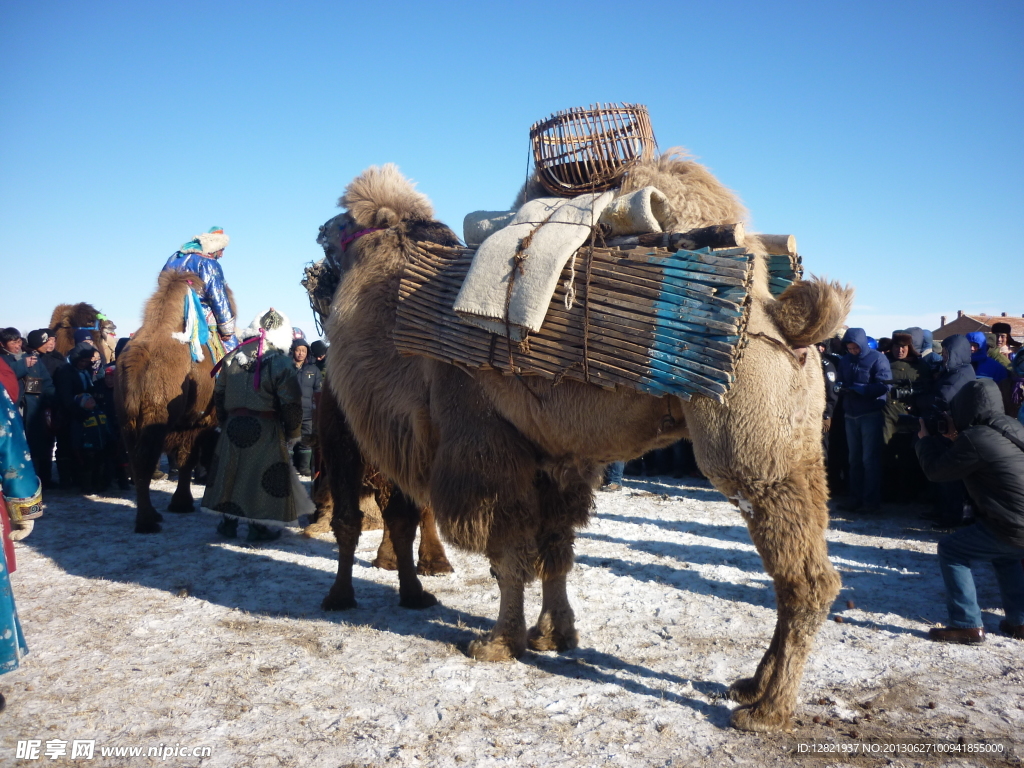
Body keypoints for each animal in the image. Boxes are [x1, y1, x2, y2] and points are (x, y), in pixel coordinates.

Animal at [115, 272, 232, 536]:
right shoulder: (199, 423)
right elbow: (187, 460)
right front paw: (182, 503)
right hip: (155, 421)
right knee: (145, 461)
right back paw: (147, 522)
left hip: (127, 422)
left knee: (136, 463)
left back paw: (150, 516)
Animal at [323, 157, 851, 733]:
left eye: (346, 224)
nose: (320, 234)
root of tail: (788, 325)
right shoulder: (556, 458)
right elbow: (555, 549)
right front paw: (552, 635)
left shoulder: (482, 448)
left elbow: (508, 557)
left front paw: (497, 643)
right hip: (800, 449)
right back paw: (751, 687)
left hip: (752, 449)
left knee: (805, 577)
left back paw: (768, 710)